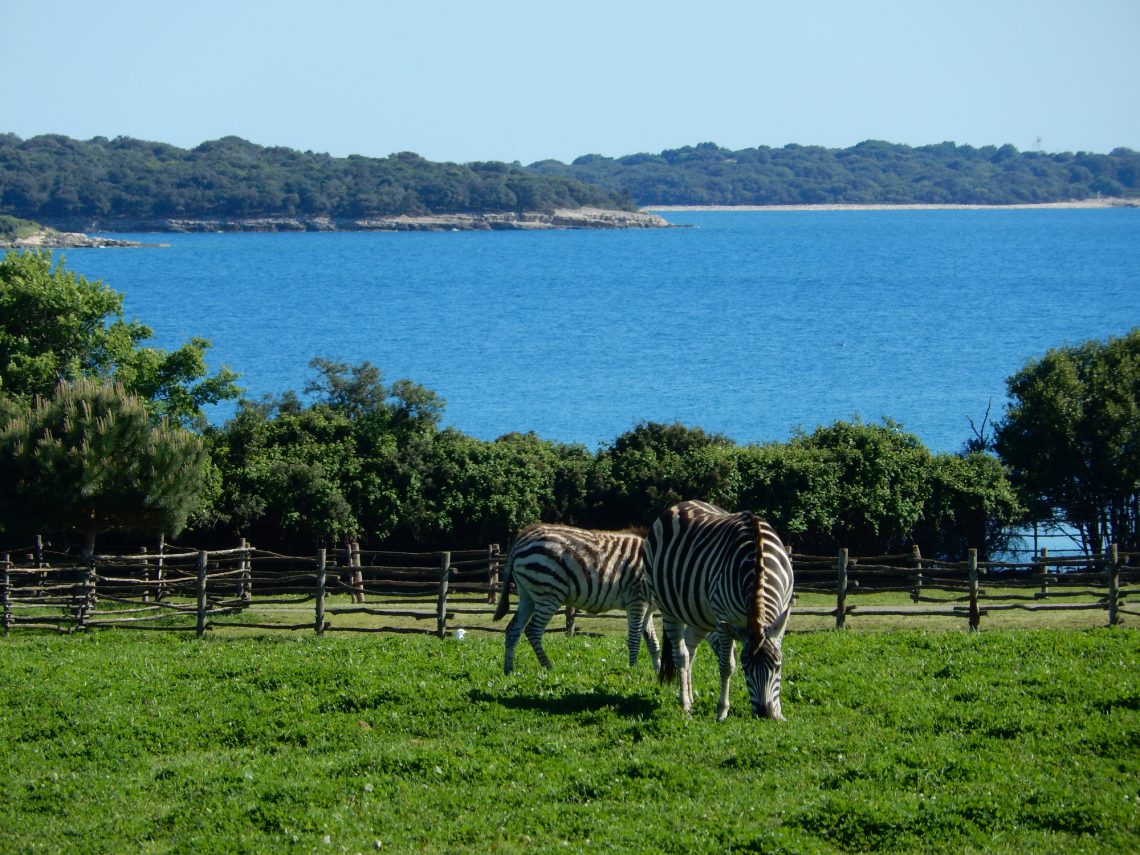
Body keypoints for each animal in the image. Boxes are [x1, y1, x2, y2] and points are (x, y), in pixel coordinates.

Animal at [490, 526, 661, 679]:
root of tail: (522, 539)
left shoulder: (647, 609)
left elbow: (653, 642)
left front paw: (659, 675)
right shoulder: (637, 601)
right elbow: (635, 640)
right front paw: (632, 673)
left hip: (527, 595)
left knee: (513, 629)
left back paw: (509, 671)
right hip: (549, 592)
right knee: (533, 630)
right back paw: (548, 668)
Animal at [642, 499, 793, 720]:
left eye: (777, 666)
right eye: (746, 669)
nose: (764, 713)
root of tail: (681, 504)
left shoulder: (781, 612)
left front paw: (779, 712)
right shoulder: (724, 620)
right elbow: (727, 665)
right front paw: (722, 711)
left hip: (700, 614)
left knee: (690, 649)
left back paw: (691, 697)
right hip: (667, 607)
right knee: (681, 655)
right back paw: (685, 704)